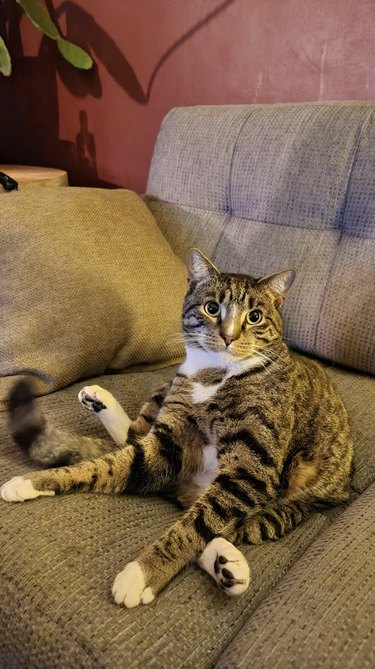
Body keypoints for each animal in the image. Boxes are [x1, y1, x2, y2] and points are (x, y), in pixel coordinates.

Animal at [0, 248, 354, 608]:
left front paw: (142, 573)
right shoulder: (170, 437)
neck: (212, 373)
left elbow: (196, 525)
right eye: (212, 308)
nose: (228, 336)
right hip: (166, 390)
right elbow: (110, 465)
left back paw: (227, 566)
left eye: (254, 316)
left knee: (209, 516)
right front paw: (33, 481)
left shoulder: (251, 468)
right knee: (135, 439)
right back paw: (98, 399)